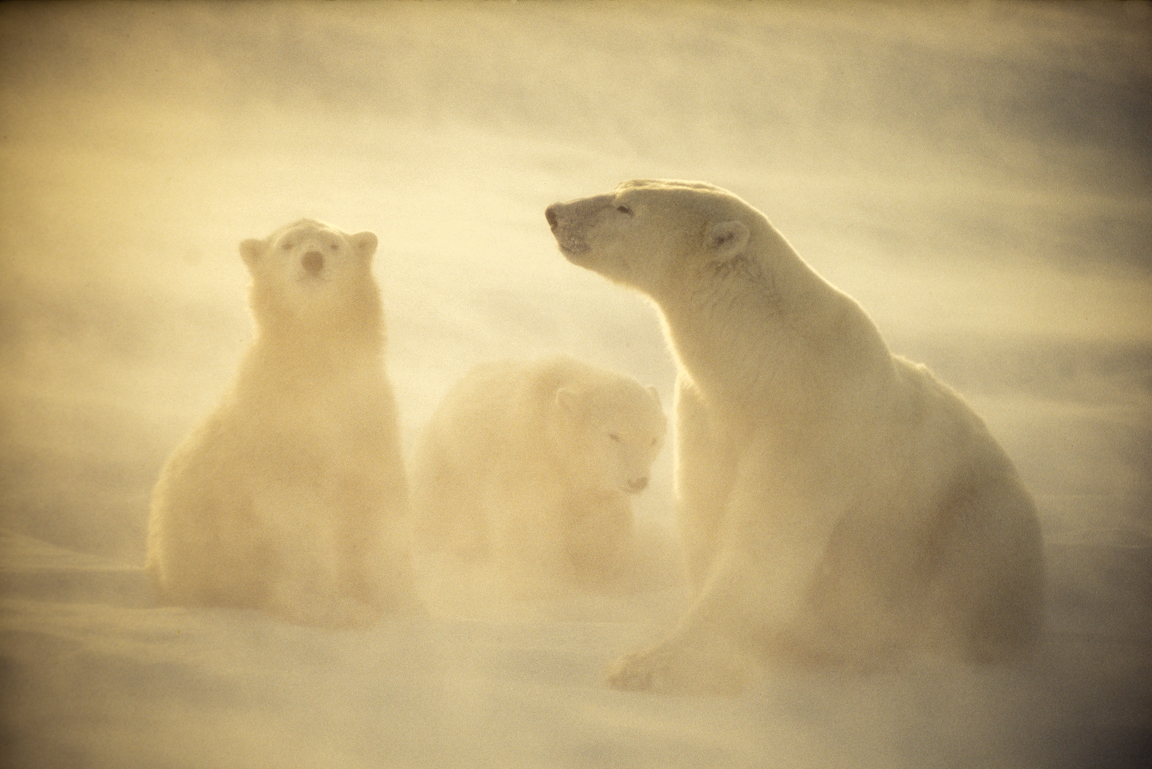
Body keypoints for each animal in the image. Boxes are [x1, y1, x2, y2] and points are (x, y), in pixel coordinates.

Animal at [546, 183, 1046, 695]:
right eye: (622, 187)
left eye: (626, 206)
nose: (555, 213)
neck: (768, 360)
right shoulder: (709, 412)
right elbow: (708, 506)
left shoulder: (811, 418)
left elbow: (769, 533)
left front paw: (654, 664)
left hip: (972, 506)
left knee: (980, 546)